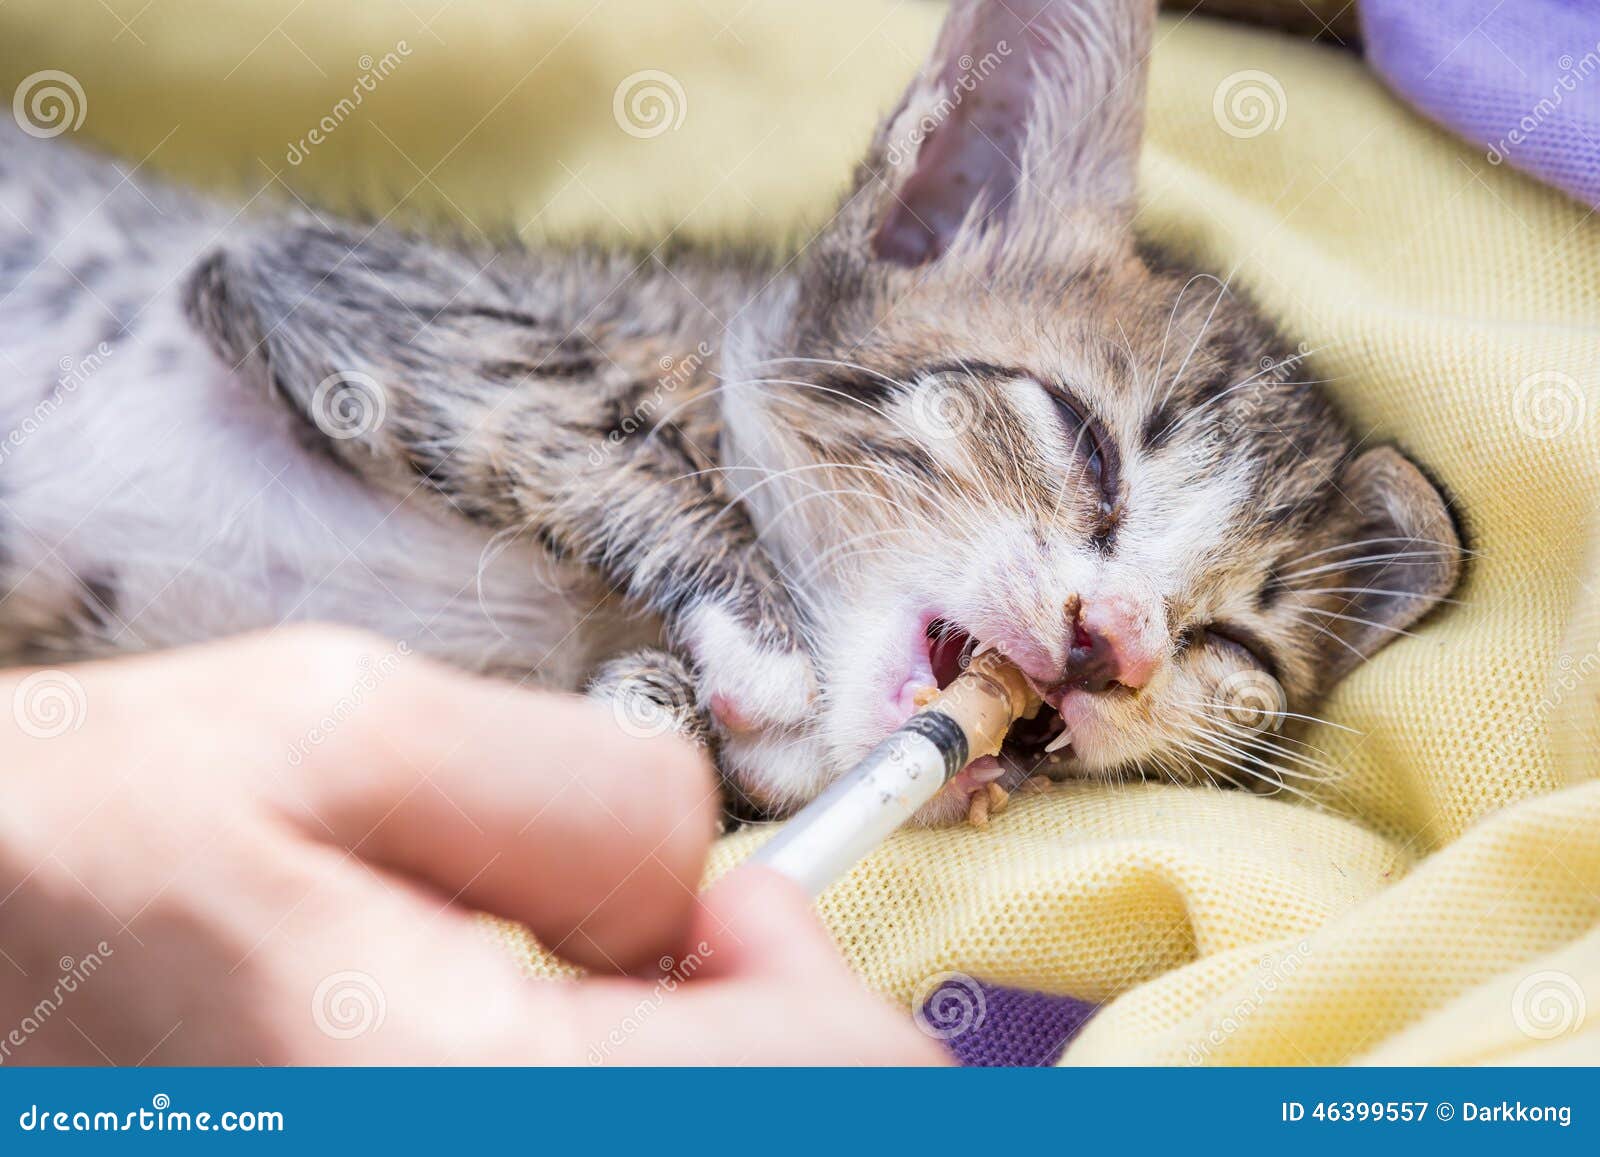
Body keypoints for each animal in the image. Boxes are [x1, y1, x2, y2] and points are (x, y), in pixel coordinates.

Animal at [0, 0, 1461, 824]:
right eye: (1086, 445)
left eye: (1229, 649)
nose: (1121, 645)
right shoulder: (339, 287)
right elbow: (598, 436)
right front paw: (762, 642)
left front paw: (683, 720)